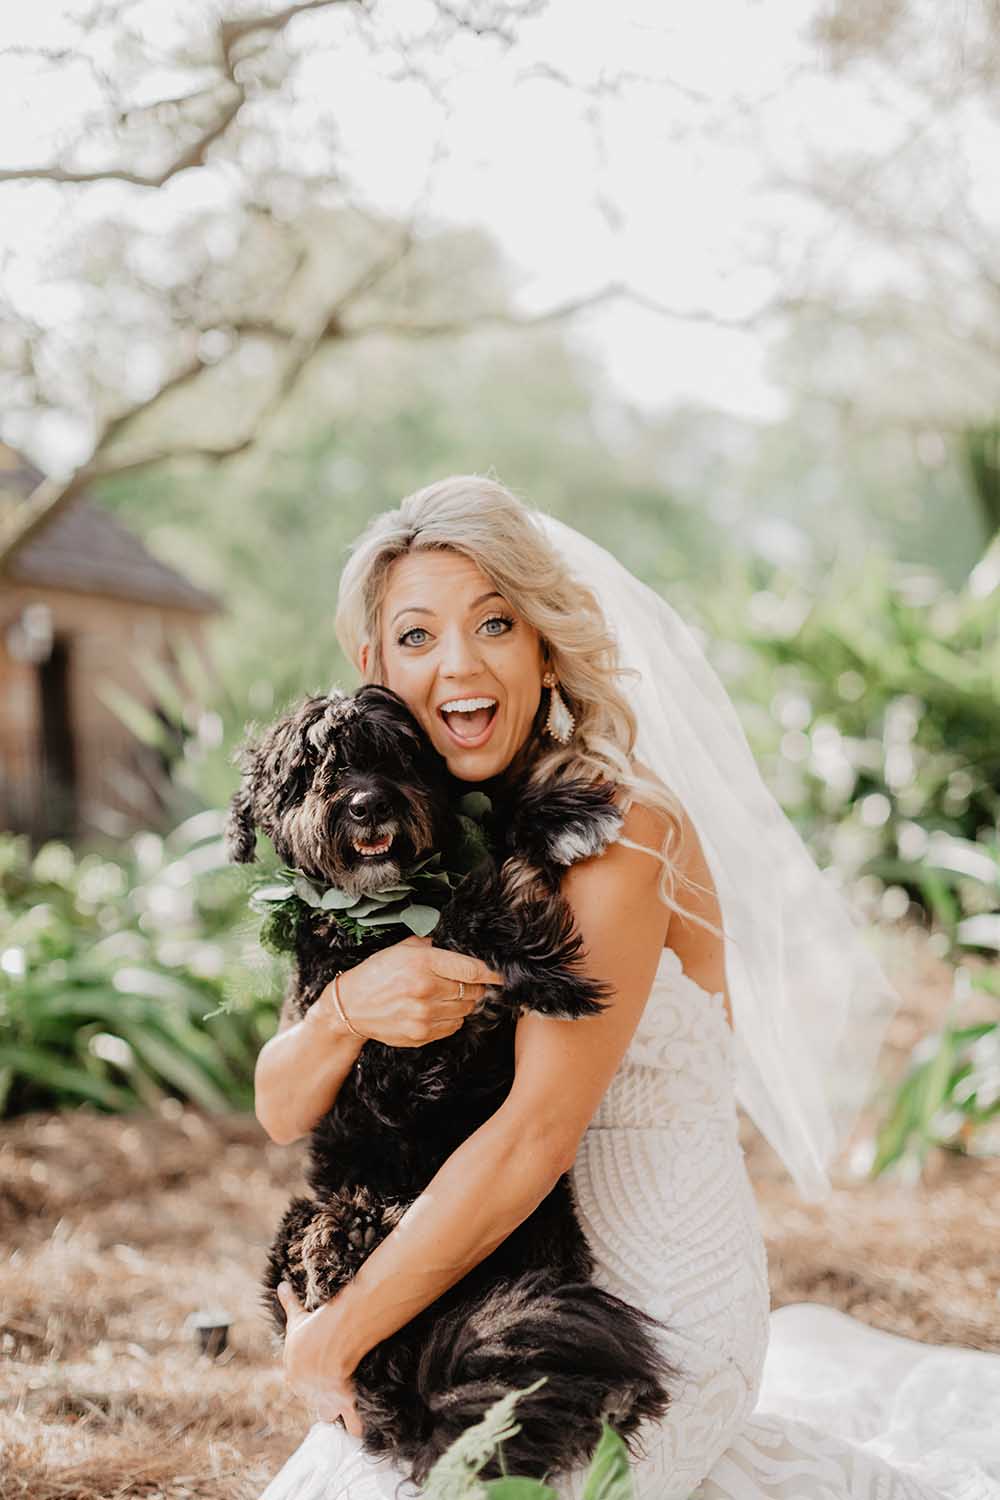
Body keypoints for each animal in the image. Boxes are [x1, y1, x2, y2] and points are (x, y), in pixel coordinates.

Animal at [226, 687, 680, 1482]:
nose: (368, 803)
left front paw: (560, 813)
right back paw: (364, 1230)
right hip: (305, 1229)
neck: (374, 922)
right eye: (309, 771)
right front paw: (547, 969)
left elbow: (485, 853)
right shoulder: (389, 1061)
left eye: (396, 753)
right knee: (325, 1261)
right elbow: (459, 916)